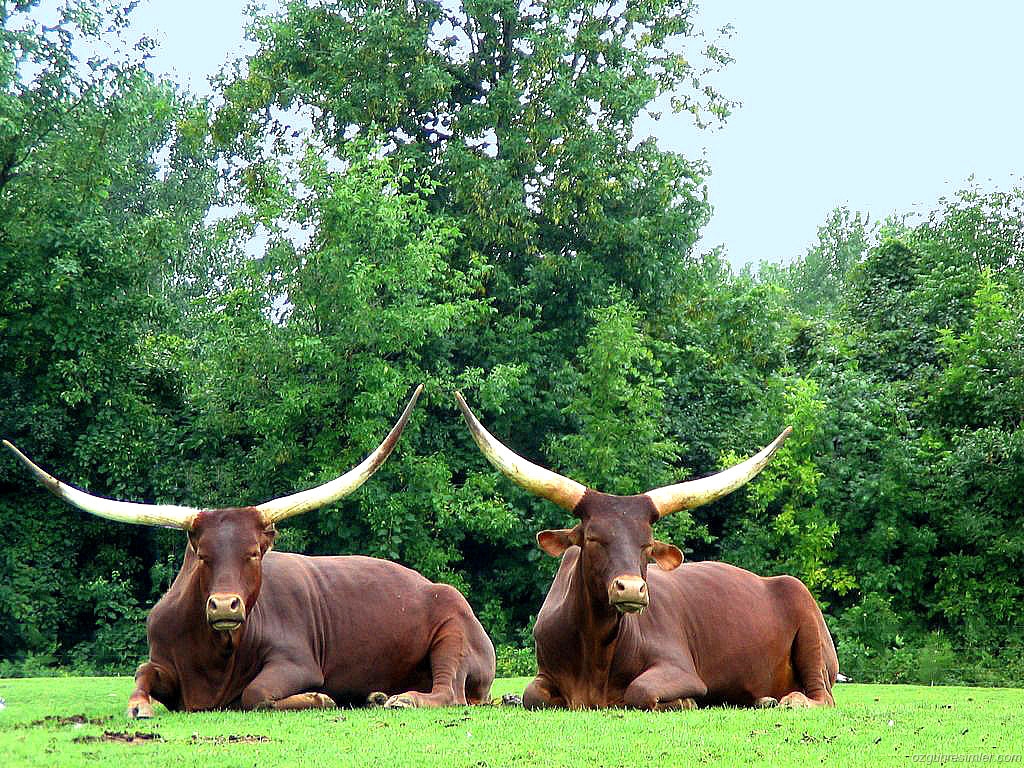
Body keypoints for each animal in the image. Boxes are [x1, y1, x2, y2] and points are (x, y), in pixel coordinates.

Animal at [4, 387, 495, 720]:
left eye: (255, 553)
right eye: (202, 555)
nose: (225, 606)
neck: (213, 656)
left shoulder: (295, 660)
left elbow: (256, 694)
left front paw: (318, 697)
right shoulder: (165, 661)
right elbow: (142, 672)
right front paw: (139, 706)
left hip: (452, 632)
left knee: (448, 691)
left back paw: (399, 699)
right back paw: (376, 695)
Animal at [458, 393, 839, 712]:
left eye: (647, 545)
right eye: (593, 538)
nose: (631, 588)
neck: (596, 649)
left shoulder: (680, 668)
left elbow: (640, 691)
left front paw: (684, 702)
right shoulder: (543, 677)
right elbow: (531, 695)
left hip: (806, 619)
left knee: (822, 696)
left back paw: (791, 701)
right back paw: (763, 699)